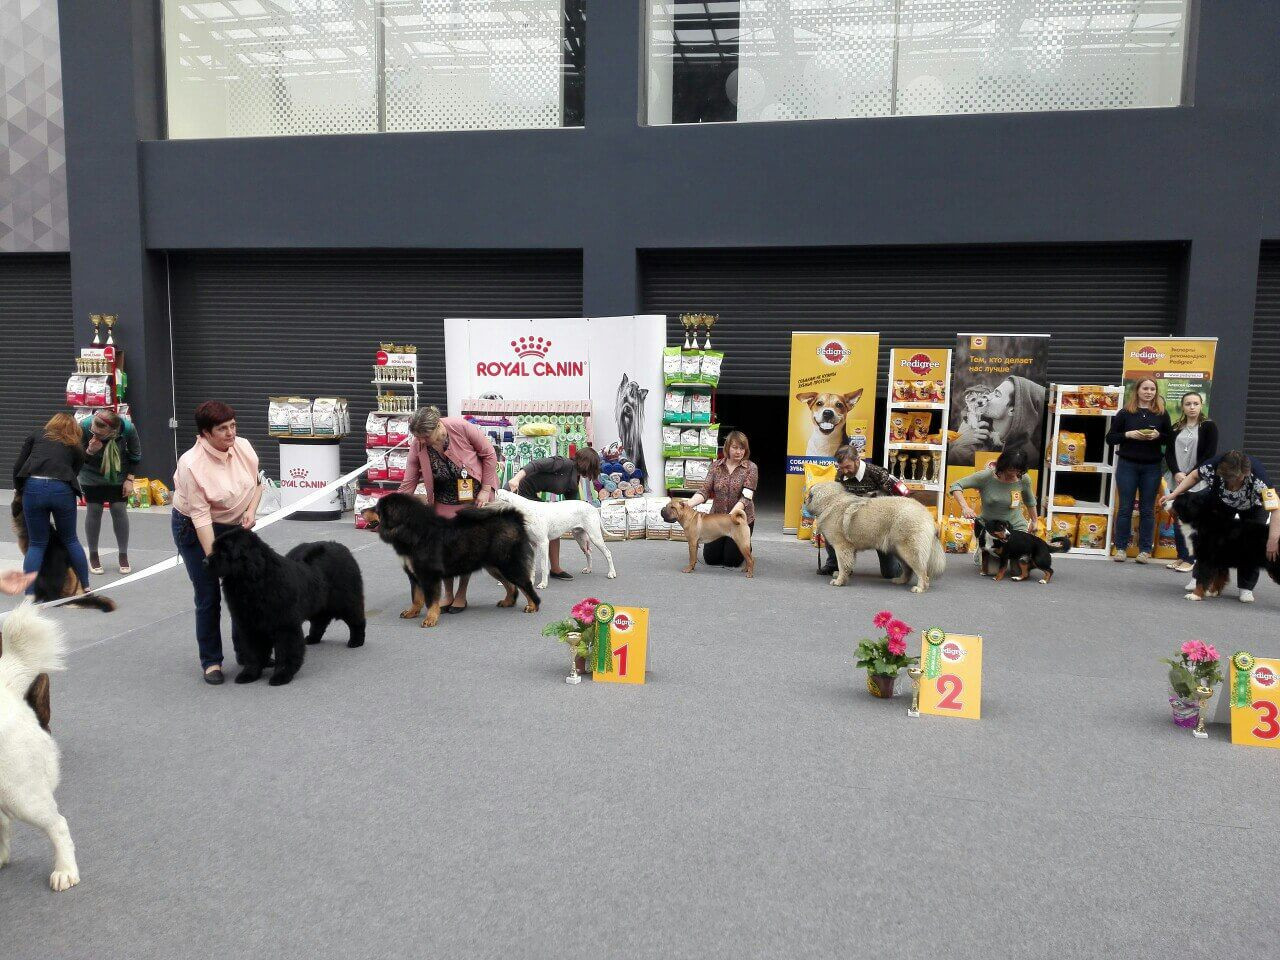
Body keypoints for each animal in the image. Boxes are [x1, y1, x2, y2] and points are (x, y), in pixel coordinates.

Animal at [203, 527, 366, 686]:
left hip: (346, 600)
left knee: (356, 620)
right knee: (320, 621)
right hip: (318, 602)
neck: (254, 582)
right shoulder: (249, 626)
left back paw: (356, 641)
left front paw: (281, 676)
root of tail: (341, 547)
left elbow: (285, 651)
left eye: (224, 551)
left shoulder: (284, 625)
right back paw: (312, 638)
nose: (204, 561)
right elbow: (252, 652)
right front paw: (249, 674)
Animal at [360, 496, 540, 632]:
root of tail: (514, 518)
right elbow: (416, 598)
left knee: (525, 585)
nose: (361, 511)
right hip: (495, 567)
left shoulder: (428, 575)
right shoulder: (414, 575)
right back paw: (508, 602)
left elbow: (430, 600)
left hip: (509, 565)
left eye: (377, 509)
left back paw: (533, 606)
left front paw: (430, 619)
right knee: (512, 587)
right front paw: (412, 612)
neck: (413, 532)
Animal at [803, 481, 947, 593]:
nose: (804, 500)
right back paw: (900, 580)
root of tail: (925, 512)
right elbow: (848, 564)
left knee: (922, 572)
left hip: (908, 551)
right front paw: (842, 575)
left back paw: (920, 588)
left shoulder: (842, 547)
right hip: (898, 550)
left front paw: (839, 581)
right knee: (908, 570)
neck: (831, 501)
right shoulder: (850, 549)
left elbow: (843, 564)